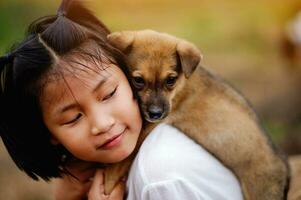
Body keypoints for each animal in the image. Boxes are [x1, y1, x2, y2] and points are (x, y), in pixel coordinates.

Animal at [103, 30, 288, 200]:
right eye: (138, 80)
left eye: (170, 80)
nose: (155, 113)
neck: (181, 85)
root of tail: (286, 173)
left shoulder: (149, 126)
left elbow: (122, 159)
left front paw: (106, 182)